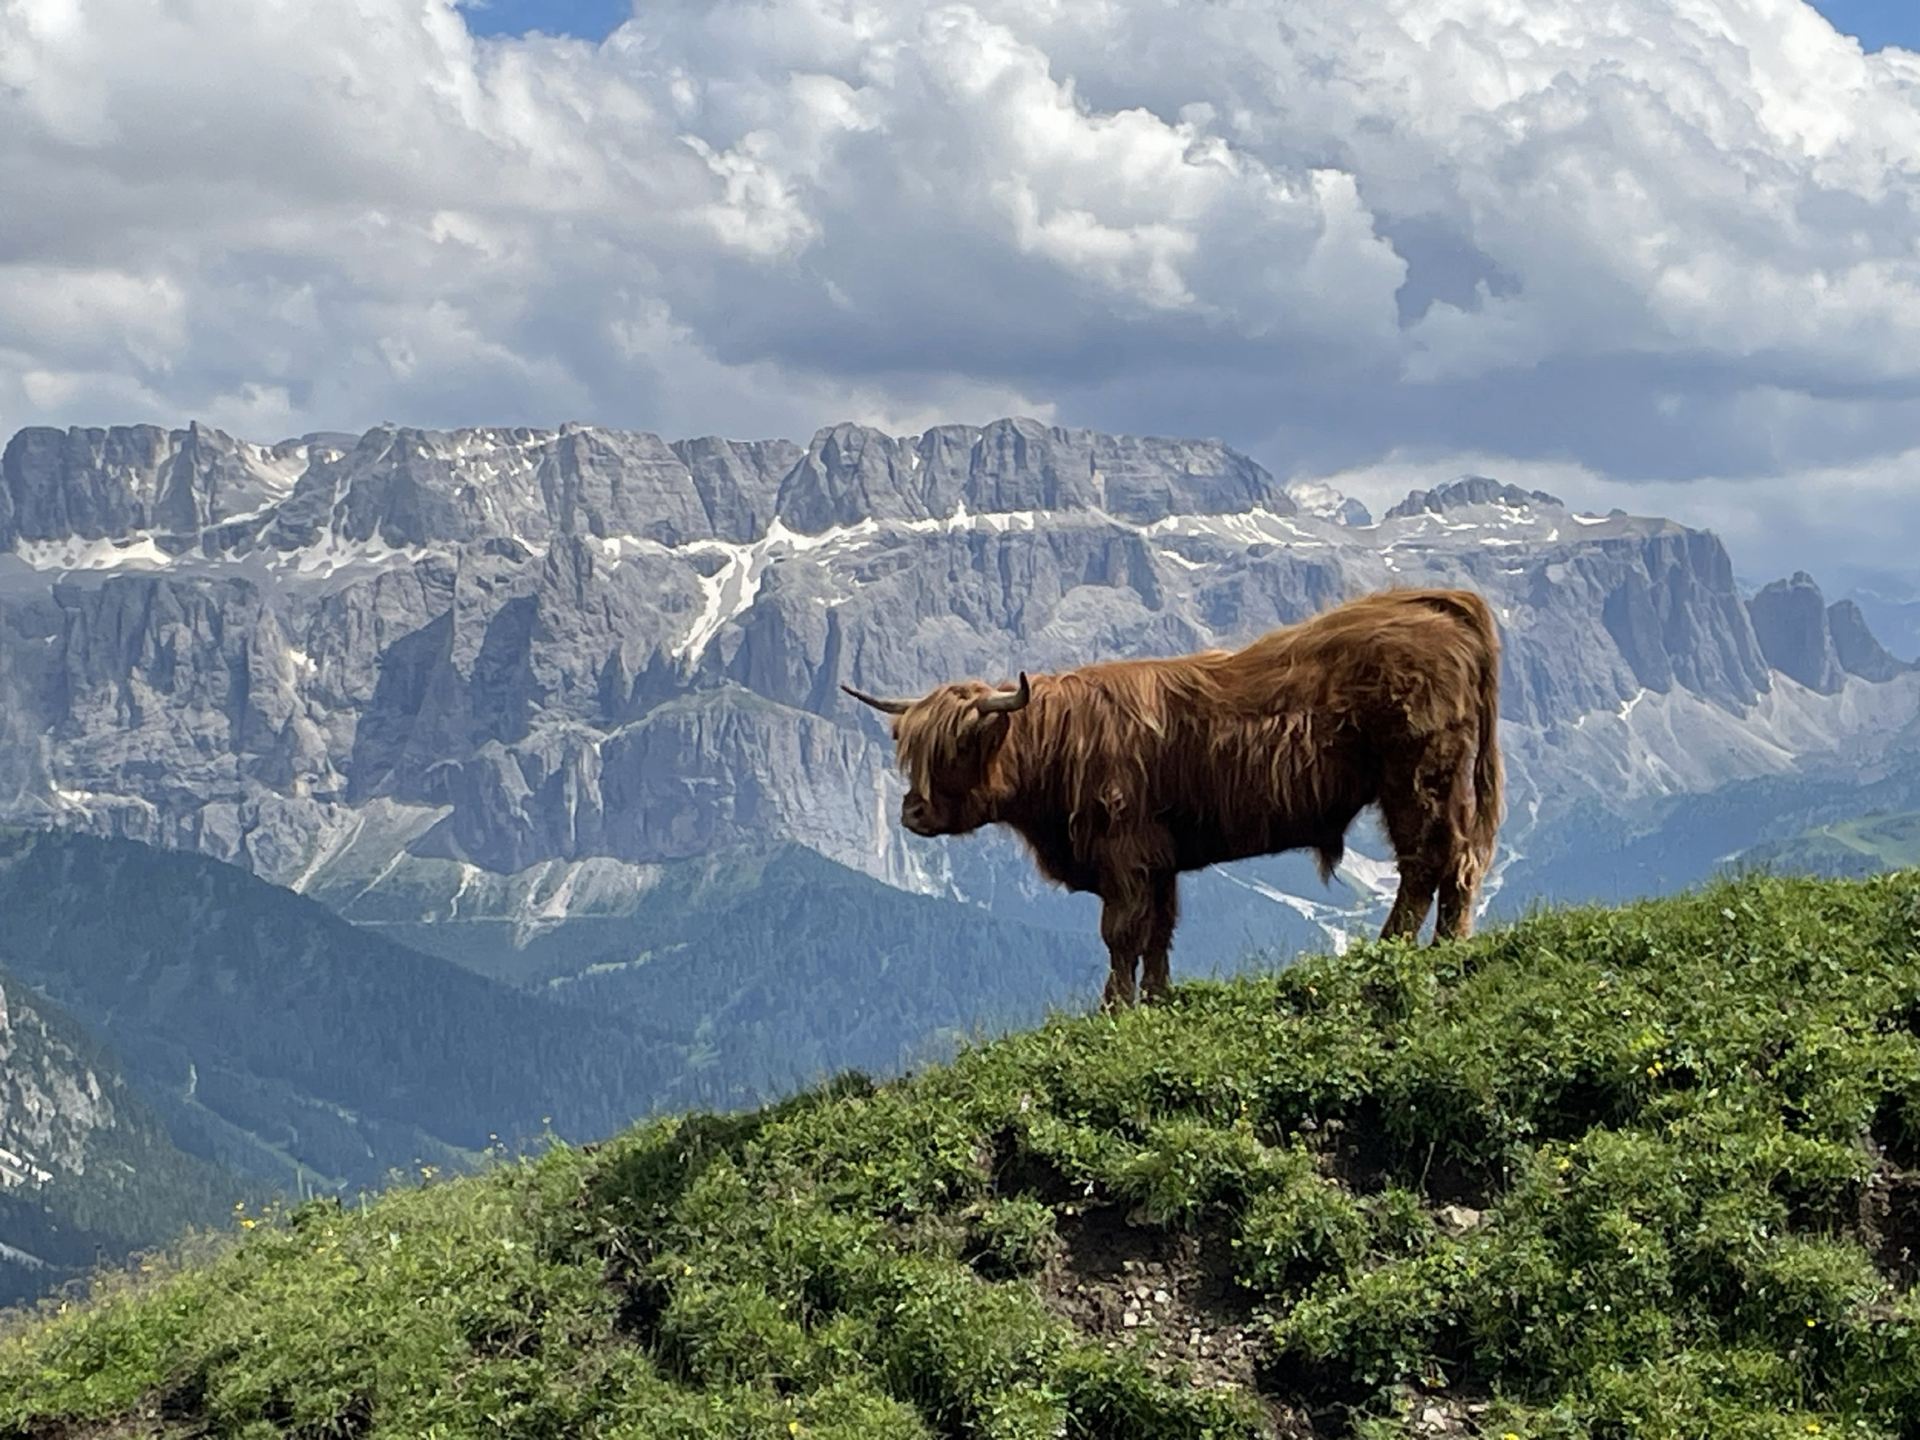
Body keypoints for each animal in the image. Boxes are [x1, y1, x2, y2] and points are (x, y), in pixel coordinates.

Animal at [844, 587, 1504, 1009]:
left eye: (958, 746)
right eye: (908, 750)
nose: (912, 812)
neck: (1055, 747)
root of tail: (1430, 601)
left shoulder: (1124, 851)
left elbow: (1121, 933)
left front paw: (1114, 1007)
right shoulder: (1158, 857)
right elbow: (1159, 930)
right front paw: (1159, 999)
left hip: (1416, 777)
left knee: (1427, 861)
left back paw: (1400, 948)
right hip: (1442, 782)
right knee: (1460, 860)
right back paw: (1448, 944)